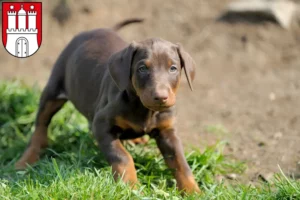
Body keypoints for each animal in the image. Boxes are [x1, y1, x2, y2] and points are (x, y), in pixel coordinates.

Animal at [15, 18, 200, 193]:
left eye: (173, 68)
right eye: (142, 68)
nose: (161, 97)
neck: (143, 109)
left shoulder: (167, 131)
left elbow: (181, 163)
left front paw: (193, 191)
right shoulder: (102, 124)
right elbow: (122, 156)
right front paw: (129, 185)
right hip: (54, 89)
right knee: (41, 124)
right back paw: (27, 159)